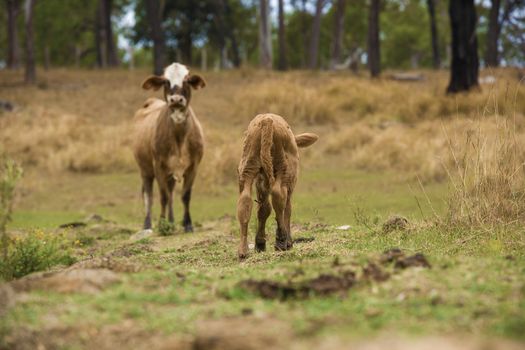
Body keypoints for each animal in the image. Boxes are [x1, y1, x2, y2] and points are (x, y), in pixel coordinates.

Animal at [132, 63, 206, 232]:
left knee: (171, 193)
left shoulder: (194, 166)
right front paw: (161, 223)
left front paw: (187, 224)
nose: (176, 99)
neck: (179, 138)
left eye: (187, 80)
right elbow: (163, 196)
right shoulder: (158, 166)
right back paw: (148, 224)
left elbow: (185, 195)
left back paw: (171, 222)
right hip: (145, 170)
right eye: (166, 81)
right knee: (149, 195)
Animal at [236, 113, 318, 258]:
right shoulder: (290, 186)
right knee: (279, 197)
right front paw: (289, 242)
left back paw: (243, 251)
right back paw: (281, 240)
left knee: (245, 201)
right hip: (284, 168)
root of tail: (267, 120)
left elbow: (263, 210)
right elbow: (287, 210)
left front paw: (260, 244)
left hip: (248, 165)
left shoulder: (261, 183)